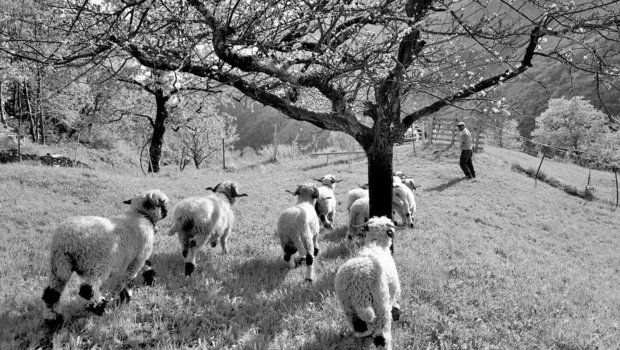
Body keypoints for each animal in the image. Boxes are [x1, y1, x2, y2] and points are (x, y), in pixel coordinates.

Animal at [41, 189, 170, 326]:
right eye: (162, 204)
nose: (166, 213)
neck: (139, 215)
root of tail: (67, 242)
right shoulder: (138, 258)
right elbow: (128, 279)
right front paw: (125, 298)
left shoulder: (133, 258)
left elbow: (144, 266)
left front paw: (150, 279)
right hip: (97, 265)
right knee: (87, 289)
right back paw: (99, 307)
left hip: (58, 266)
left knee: (51, 294)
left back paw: (54, 321)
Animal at [334, 216, 402, 350]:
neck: (376, 244)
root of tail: (357, 286)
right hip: (381, 306)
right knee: (382, 336)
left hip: (349, 310)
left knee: (361, 330)